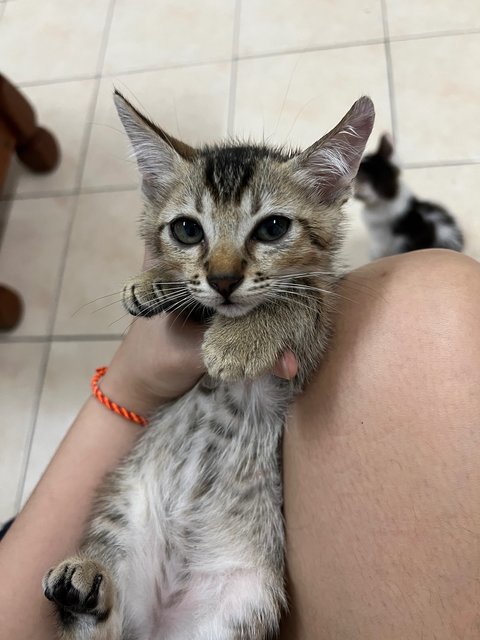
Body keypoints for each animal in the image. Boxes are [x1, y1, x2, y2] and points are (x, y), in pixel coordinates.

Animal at [43, 91, 376, 640]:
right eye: (186, 229)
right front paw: (153, 280)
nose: (222, 279)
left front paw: (236, 342)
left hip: (241, 608)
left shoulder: (313, 344)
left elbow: (298, 298)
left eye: (274, 227)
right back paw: (84, 585)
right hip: (121, 517)